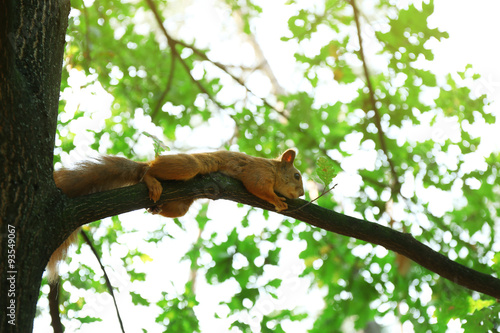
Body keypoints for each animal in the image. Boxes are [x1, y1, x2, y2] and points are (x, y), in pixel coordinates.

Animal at [47, 149, 304, 282]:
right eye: (297, 176)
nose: (302, 193)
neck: (273, 168)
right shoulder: (257, 172)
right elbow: (256, 186)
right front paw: (276, 200)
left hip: (182, 205)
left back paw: (156, 208)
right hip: (188, 165)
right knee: (150, 169)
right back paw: (150, 177)